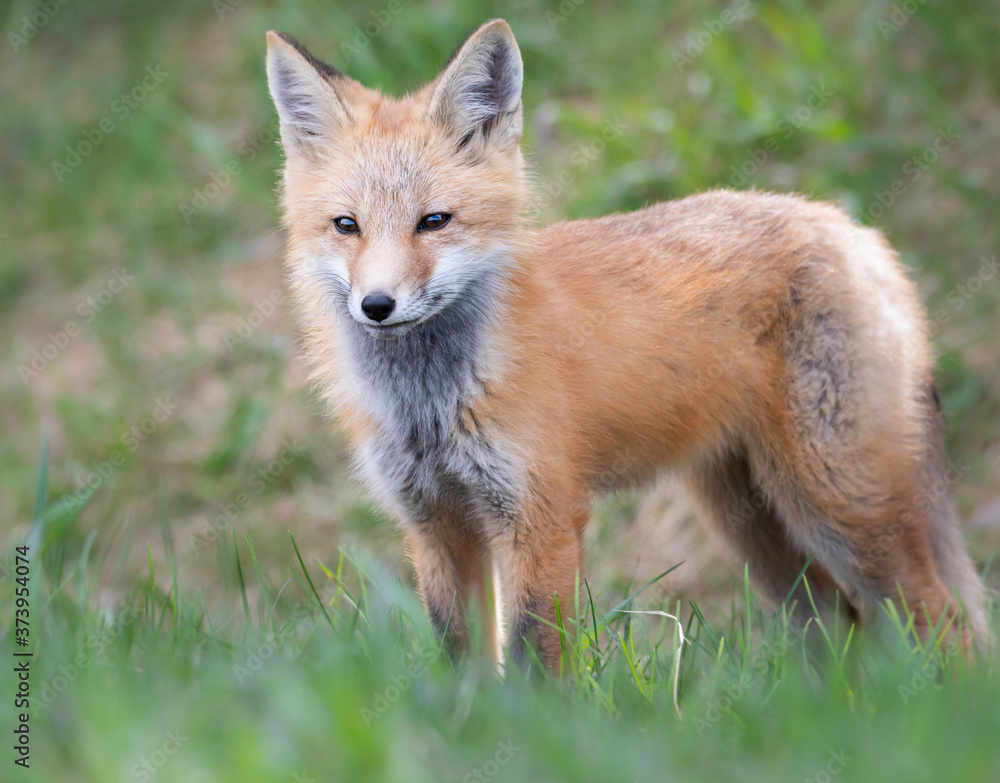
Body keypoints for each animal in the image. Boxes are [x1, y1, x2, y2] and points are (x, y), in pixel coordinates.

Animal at [265, 19, 986, 668]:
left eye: (434, 221)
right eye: (347, 226)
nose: (376, 306)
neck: (430, 405)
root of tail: (851, 227)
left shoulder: (542, 517)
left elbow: (534, 662)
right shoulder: (435, 525)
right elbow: (462, 663)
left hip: (839, 504)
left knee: (947, 620)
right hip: (755, 526)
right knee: (841, 629)